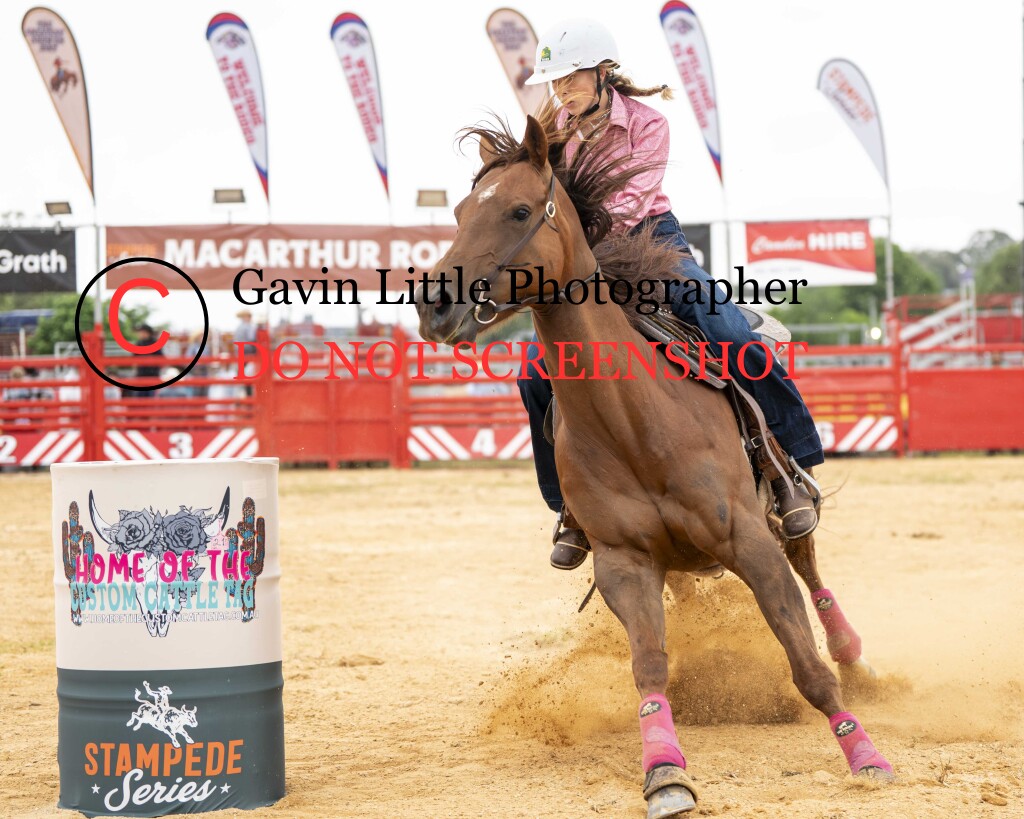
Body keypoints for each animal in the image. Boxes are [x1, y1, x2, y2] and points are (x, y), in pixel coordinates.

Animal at [415, 113, 892, 818]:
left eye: (520, 210)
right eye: (456, 213)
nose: (434, 305)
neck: (636, 420)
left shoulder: (749, 541)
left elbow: (807, 664)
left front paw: (866, 758)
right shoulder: (625, 564)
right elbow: (649, 666)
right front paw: (665, 771)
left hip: (784, 515)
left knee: (814, 578)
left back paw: (858, 663)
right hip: (680, 564)